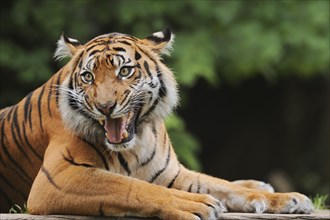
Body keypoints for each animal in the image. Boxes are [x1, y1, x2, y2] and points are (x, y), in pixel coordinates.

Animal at [0, 27, 314, 218]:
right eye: (87, 77)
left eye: (125, 71)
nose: (105, 107)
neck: (136, 141)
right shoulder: (57, 178)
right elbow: (133, 187)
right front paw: (198, 205)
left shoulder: (171, 172)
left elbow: (224, 186)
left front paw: (292, 199)